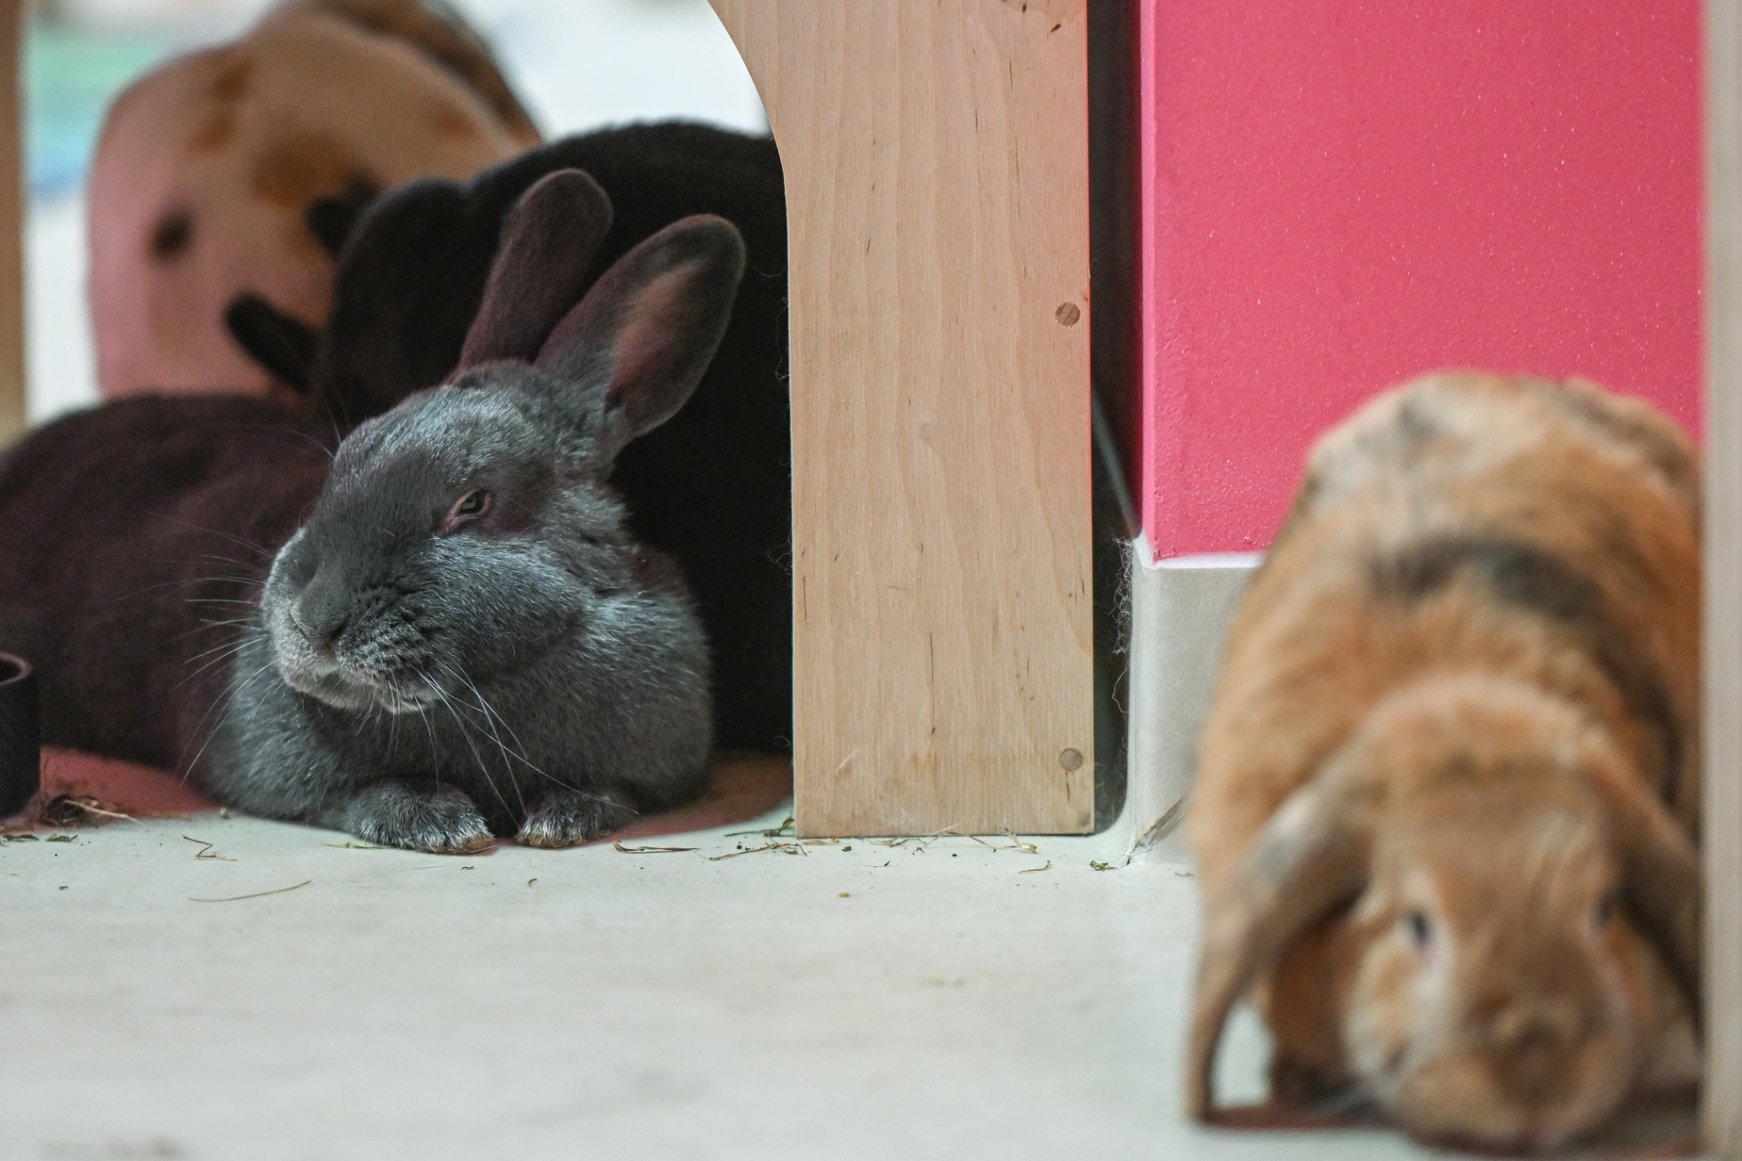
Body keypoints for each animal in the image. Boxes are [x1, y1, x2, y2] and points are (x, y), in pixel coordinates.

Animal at [0, 170, 745, 853]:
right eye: (345, 459)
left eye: (472, 503)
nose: (314, 620)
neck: (487, 689)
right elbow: (366, 793)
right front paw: (442, 825)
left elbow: (614, 791)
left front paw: (563, 819)